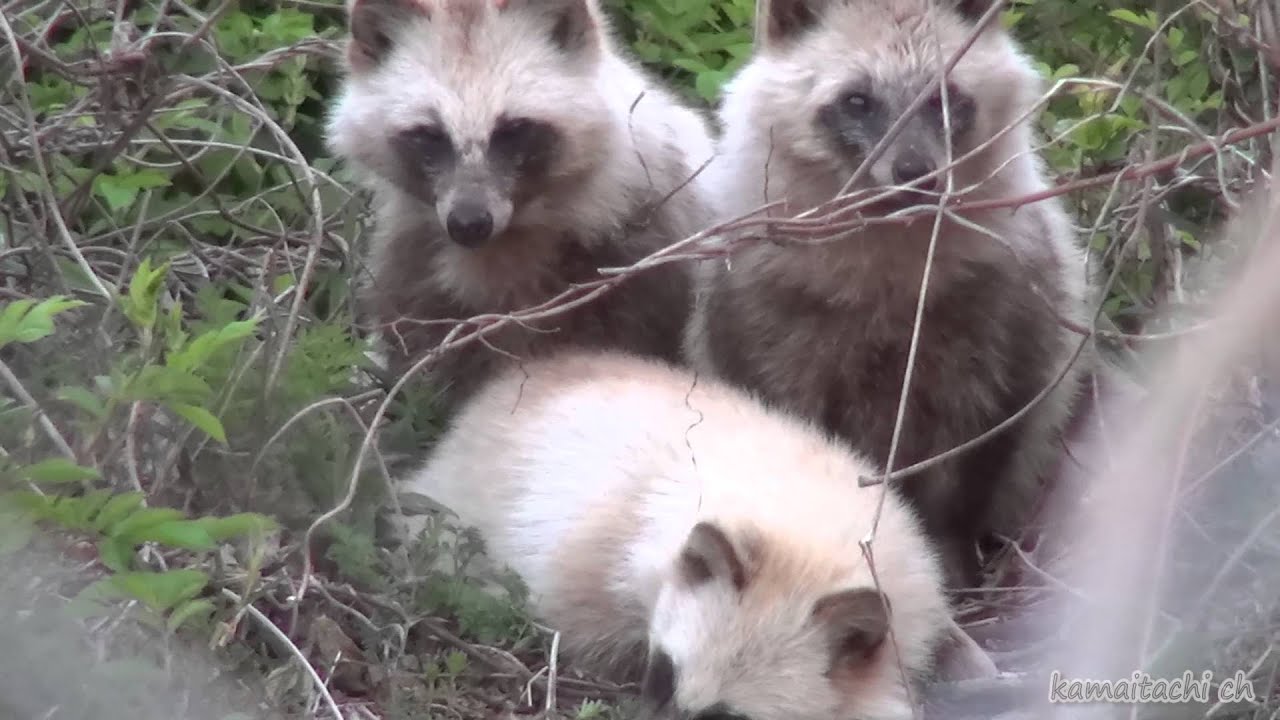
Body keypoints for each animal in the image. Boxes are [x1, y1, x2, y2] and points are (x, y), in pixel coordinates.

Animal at [326, 0, 716, 410]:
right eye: (428, 134)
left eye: (513, 129)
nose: (469, 224)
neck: (511, 237)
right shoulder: (415, 277)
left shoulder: (639, 259)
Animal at [684, 0, 1093, 588]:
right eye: (857, 99)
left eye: (944, 96)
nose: (917, 174)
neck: (889, 233)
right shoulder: (764, 313)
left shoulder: (1004, 307)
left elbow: (988, 441)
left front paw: (952, 555)